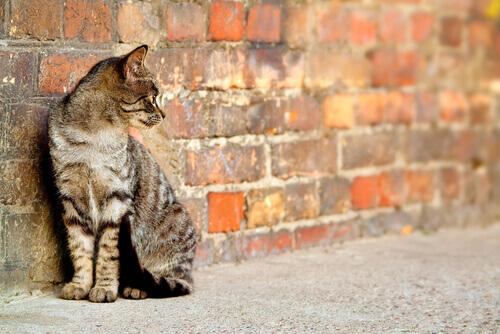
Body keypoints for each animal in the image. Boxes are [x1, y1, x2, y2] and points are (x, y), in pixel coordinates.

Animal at [48, 45, 197, 302]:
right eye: (153, 98)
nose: (165, 115)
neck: (93, 137)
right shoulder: (71, 199)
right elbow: (79, 247)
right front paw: (80, 284)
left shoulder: (118, 200)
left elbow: (109, 252)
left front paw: (105, 287)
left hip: (176, 222)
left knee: (164, 276)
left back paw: (137, 287)